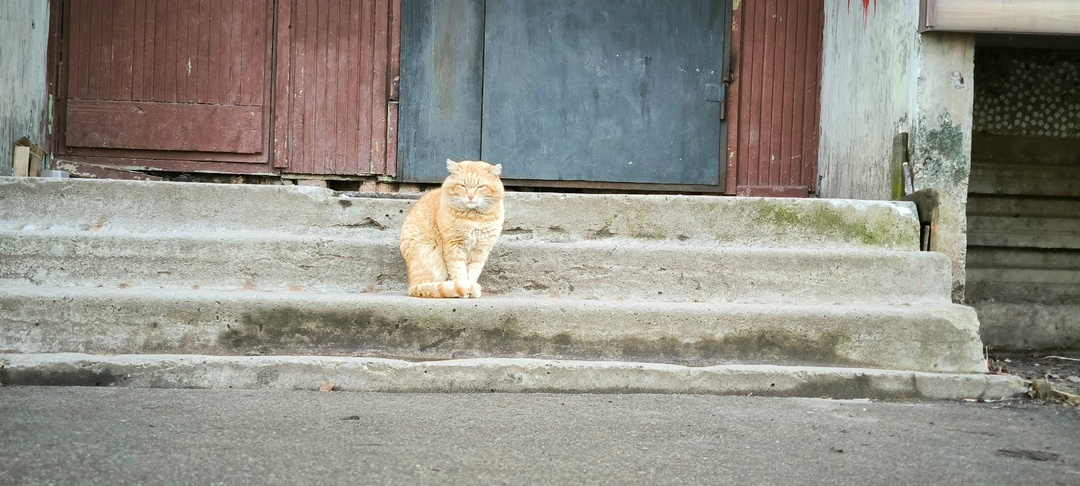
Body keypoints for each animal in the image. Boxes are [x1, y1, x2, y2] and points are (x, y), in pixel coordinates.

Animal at [399, 160, 503, 295]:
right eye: (463, 185)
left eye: (481, 186)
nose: (470, 196)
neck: (474, 218)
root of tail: (412, 285)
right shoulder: (454, 247)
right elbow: (459, 273)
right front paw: (467, 289)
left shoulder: (480, 251)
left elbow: (472, 273)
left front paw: (471, 289)